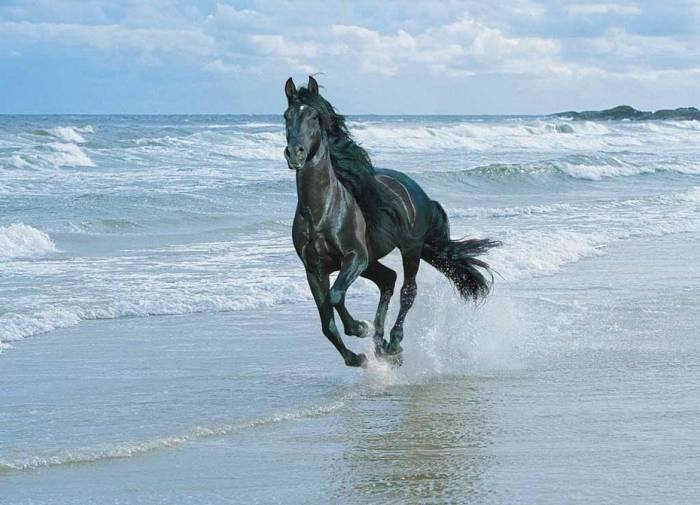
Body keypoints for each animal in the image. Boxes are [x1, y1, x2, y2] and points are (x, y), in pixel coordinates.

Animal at [284, 76, 500, 367]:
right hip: (373, 261)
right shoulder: (314, 270)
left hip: (409, 249)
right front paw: (357, 357)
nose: (294, 153)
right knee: (388, 279)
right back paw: (380, 344)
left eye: (315, 117)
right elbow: (326, 323)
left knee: (408, 291)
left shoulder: (354, 258)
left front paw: (360, 328)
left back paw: (393, 343)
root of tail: (418, 192)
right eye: (286, 116)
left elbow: (336, 297)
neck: (322, 212)